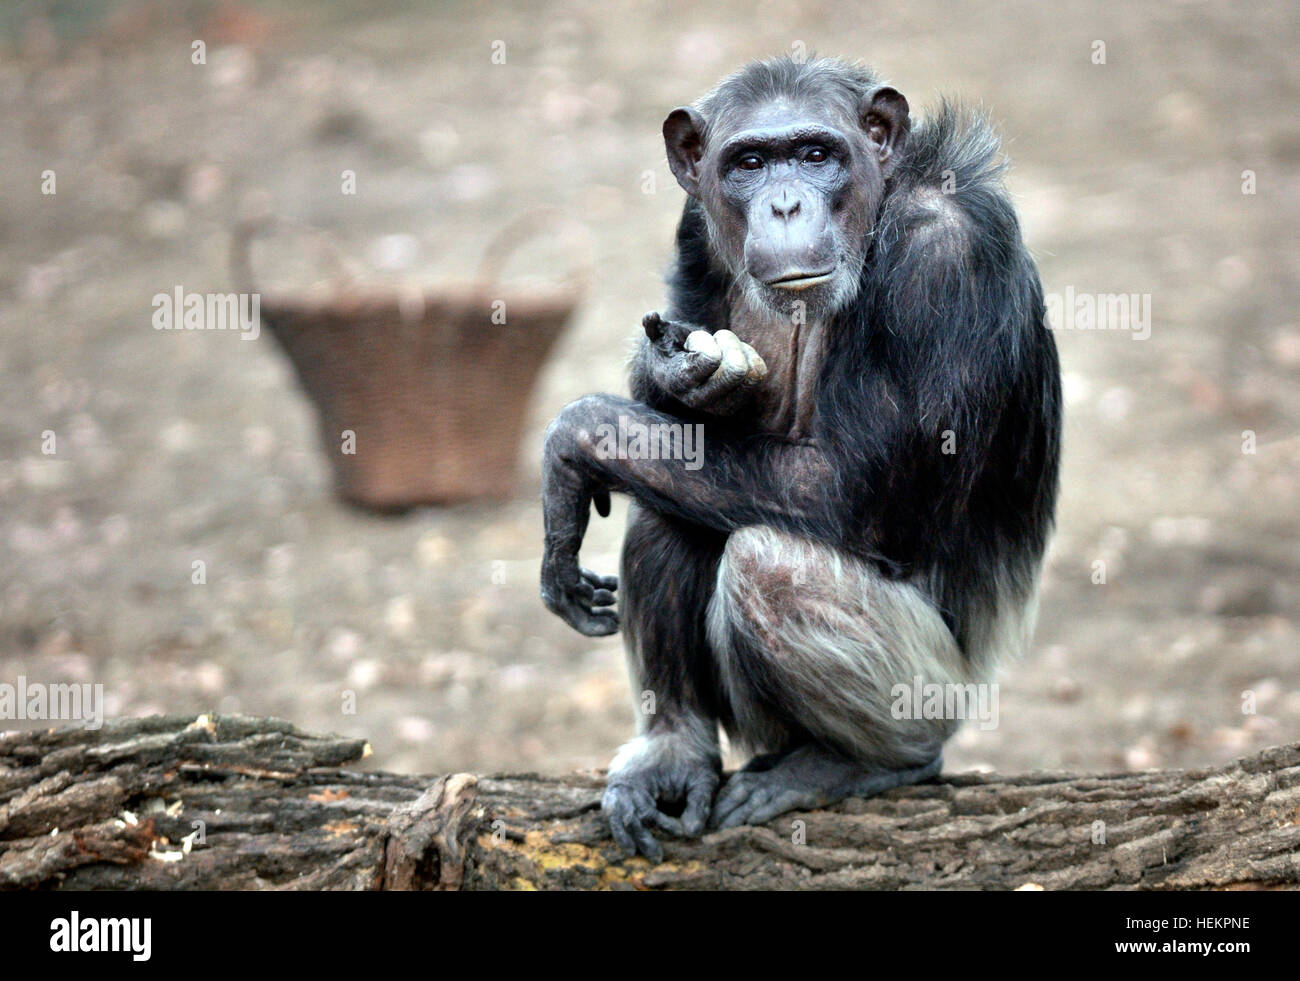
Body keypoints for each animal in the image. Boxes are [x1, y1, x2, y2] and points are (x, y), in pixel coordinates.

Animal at [538, 57, 1055, 862]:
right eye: (749, 163)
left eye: (816, 154)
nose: (784, 204)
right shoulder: (693, 228)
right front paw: (678, 373)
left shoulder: (946, 259)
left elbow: (840, 486)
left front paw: (574, 438)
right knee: (670, 506)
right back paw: (672, 751)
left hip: (943, 688)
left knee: (770, 567)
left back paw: (864, 762)